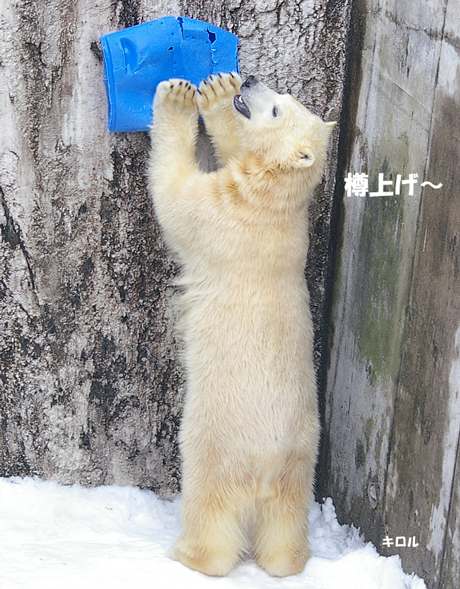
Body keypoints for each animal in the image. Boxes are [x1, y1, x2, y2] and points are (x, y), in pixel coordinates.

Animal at [149, 72, 332, 576]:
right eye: (285, 98)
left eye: (277, 109)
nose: (248, 80)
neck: (275, 197)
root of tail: (265, 469)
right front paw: (219, 89)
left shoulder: (224, 216)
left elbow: (174, 195)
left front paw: (185, 98)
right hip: (299, 468)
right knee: (284, 525)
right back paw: (288, 561)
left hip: (214, 446)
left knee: (210, 510)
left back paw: (189, 555)